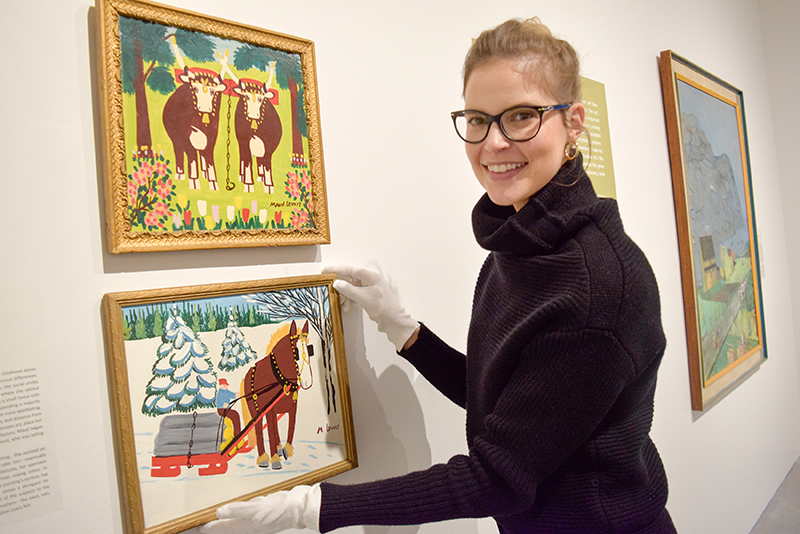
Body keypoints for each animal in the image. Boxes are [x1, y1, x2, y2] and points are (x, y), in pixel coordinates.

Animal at [241, 322, 312, 468]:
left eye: (309, 349)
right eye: (296, 353)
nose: (307, 381)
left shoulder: (292, 407)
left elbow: (291, 428)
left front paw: (285, 450)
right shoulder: (270, 410)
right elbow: (271, 432)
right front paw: (274, 460)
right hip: (256, 410)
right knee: (259, 427)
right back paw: (263, 458)